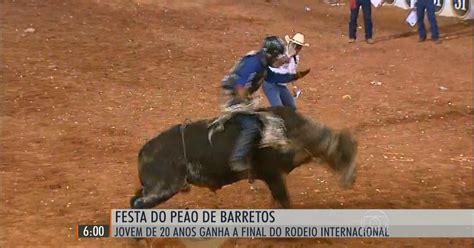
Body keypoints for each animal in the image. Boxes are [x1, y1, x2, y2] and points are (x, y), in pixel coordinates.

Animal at [130, 105, 356, 208]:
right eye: (345, 156)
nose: (352, 180)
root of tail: (144, 152)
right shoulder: (273, 176)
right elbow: (284, 201)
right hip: (162, 188)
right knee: (137, 204)